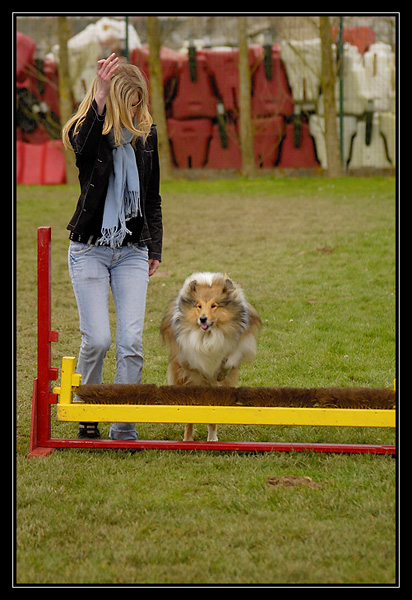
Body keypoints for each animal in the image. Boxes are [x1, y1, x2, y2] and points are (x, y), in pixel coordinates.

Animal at [160, 272, 260, 440]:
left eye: (214, 305)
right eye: (198, 306)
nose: (203, 319)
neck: (209, 333)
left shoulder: (242, 341)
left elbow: (230, 358)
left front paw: (220, 373)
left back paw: (212, 438)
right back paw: (187, 439)